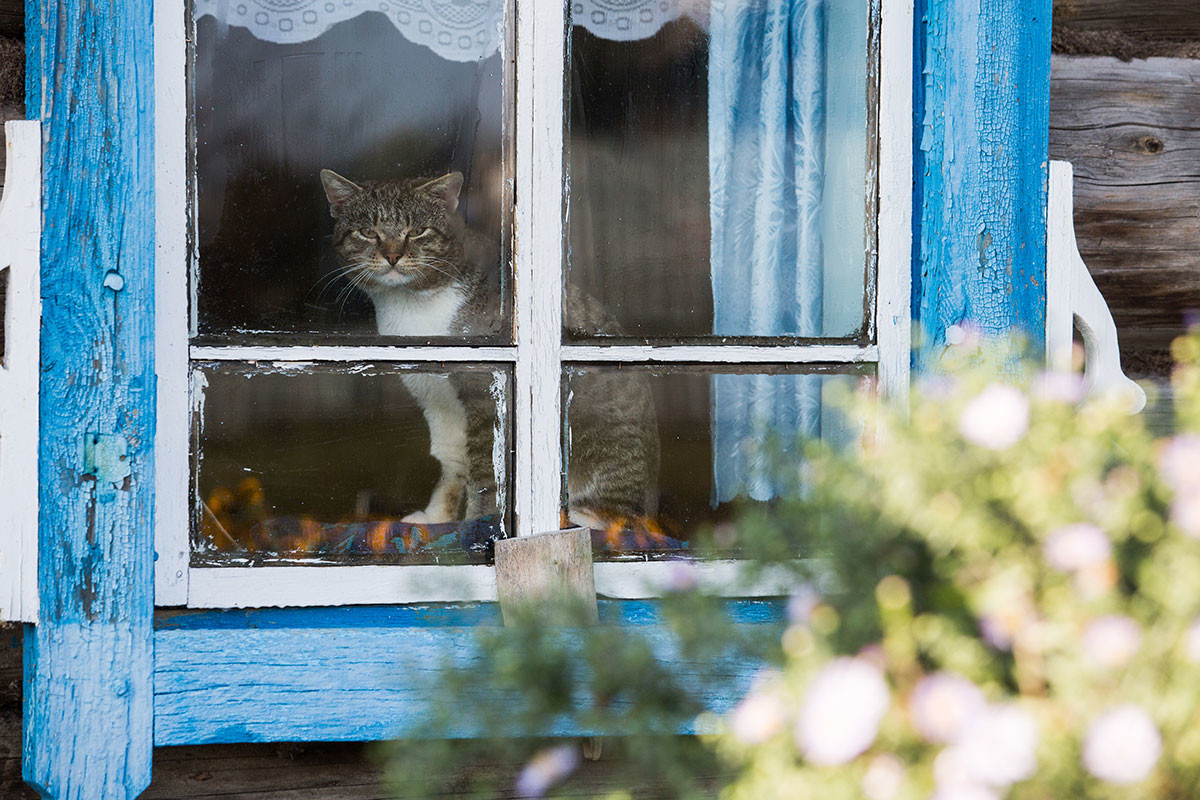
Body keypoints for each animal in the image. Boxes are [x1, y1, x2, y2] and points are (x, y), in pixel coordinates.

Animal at [321, 169, 657, 532]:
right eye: (368, 232)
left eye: (417, 231)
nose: (393, 255)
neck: (410, 308)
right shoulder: (434, 396)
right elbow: (452, 457)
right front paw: (437, 518)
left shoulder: (484, 393)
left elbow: (485, 469)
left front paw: (479, 522)